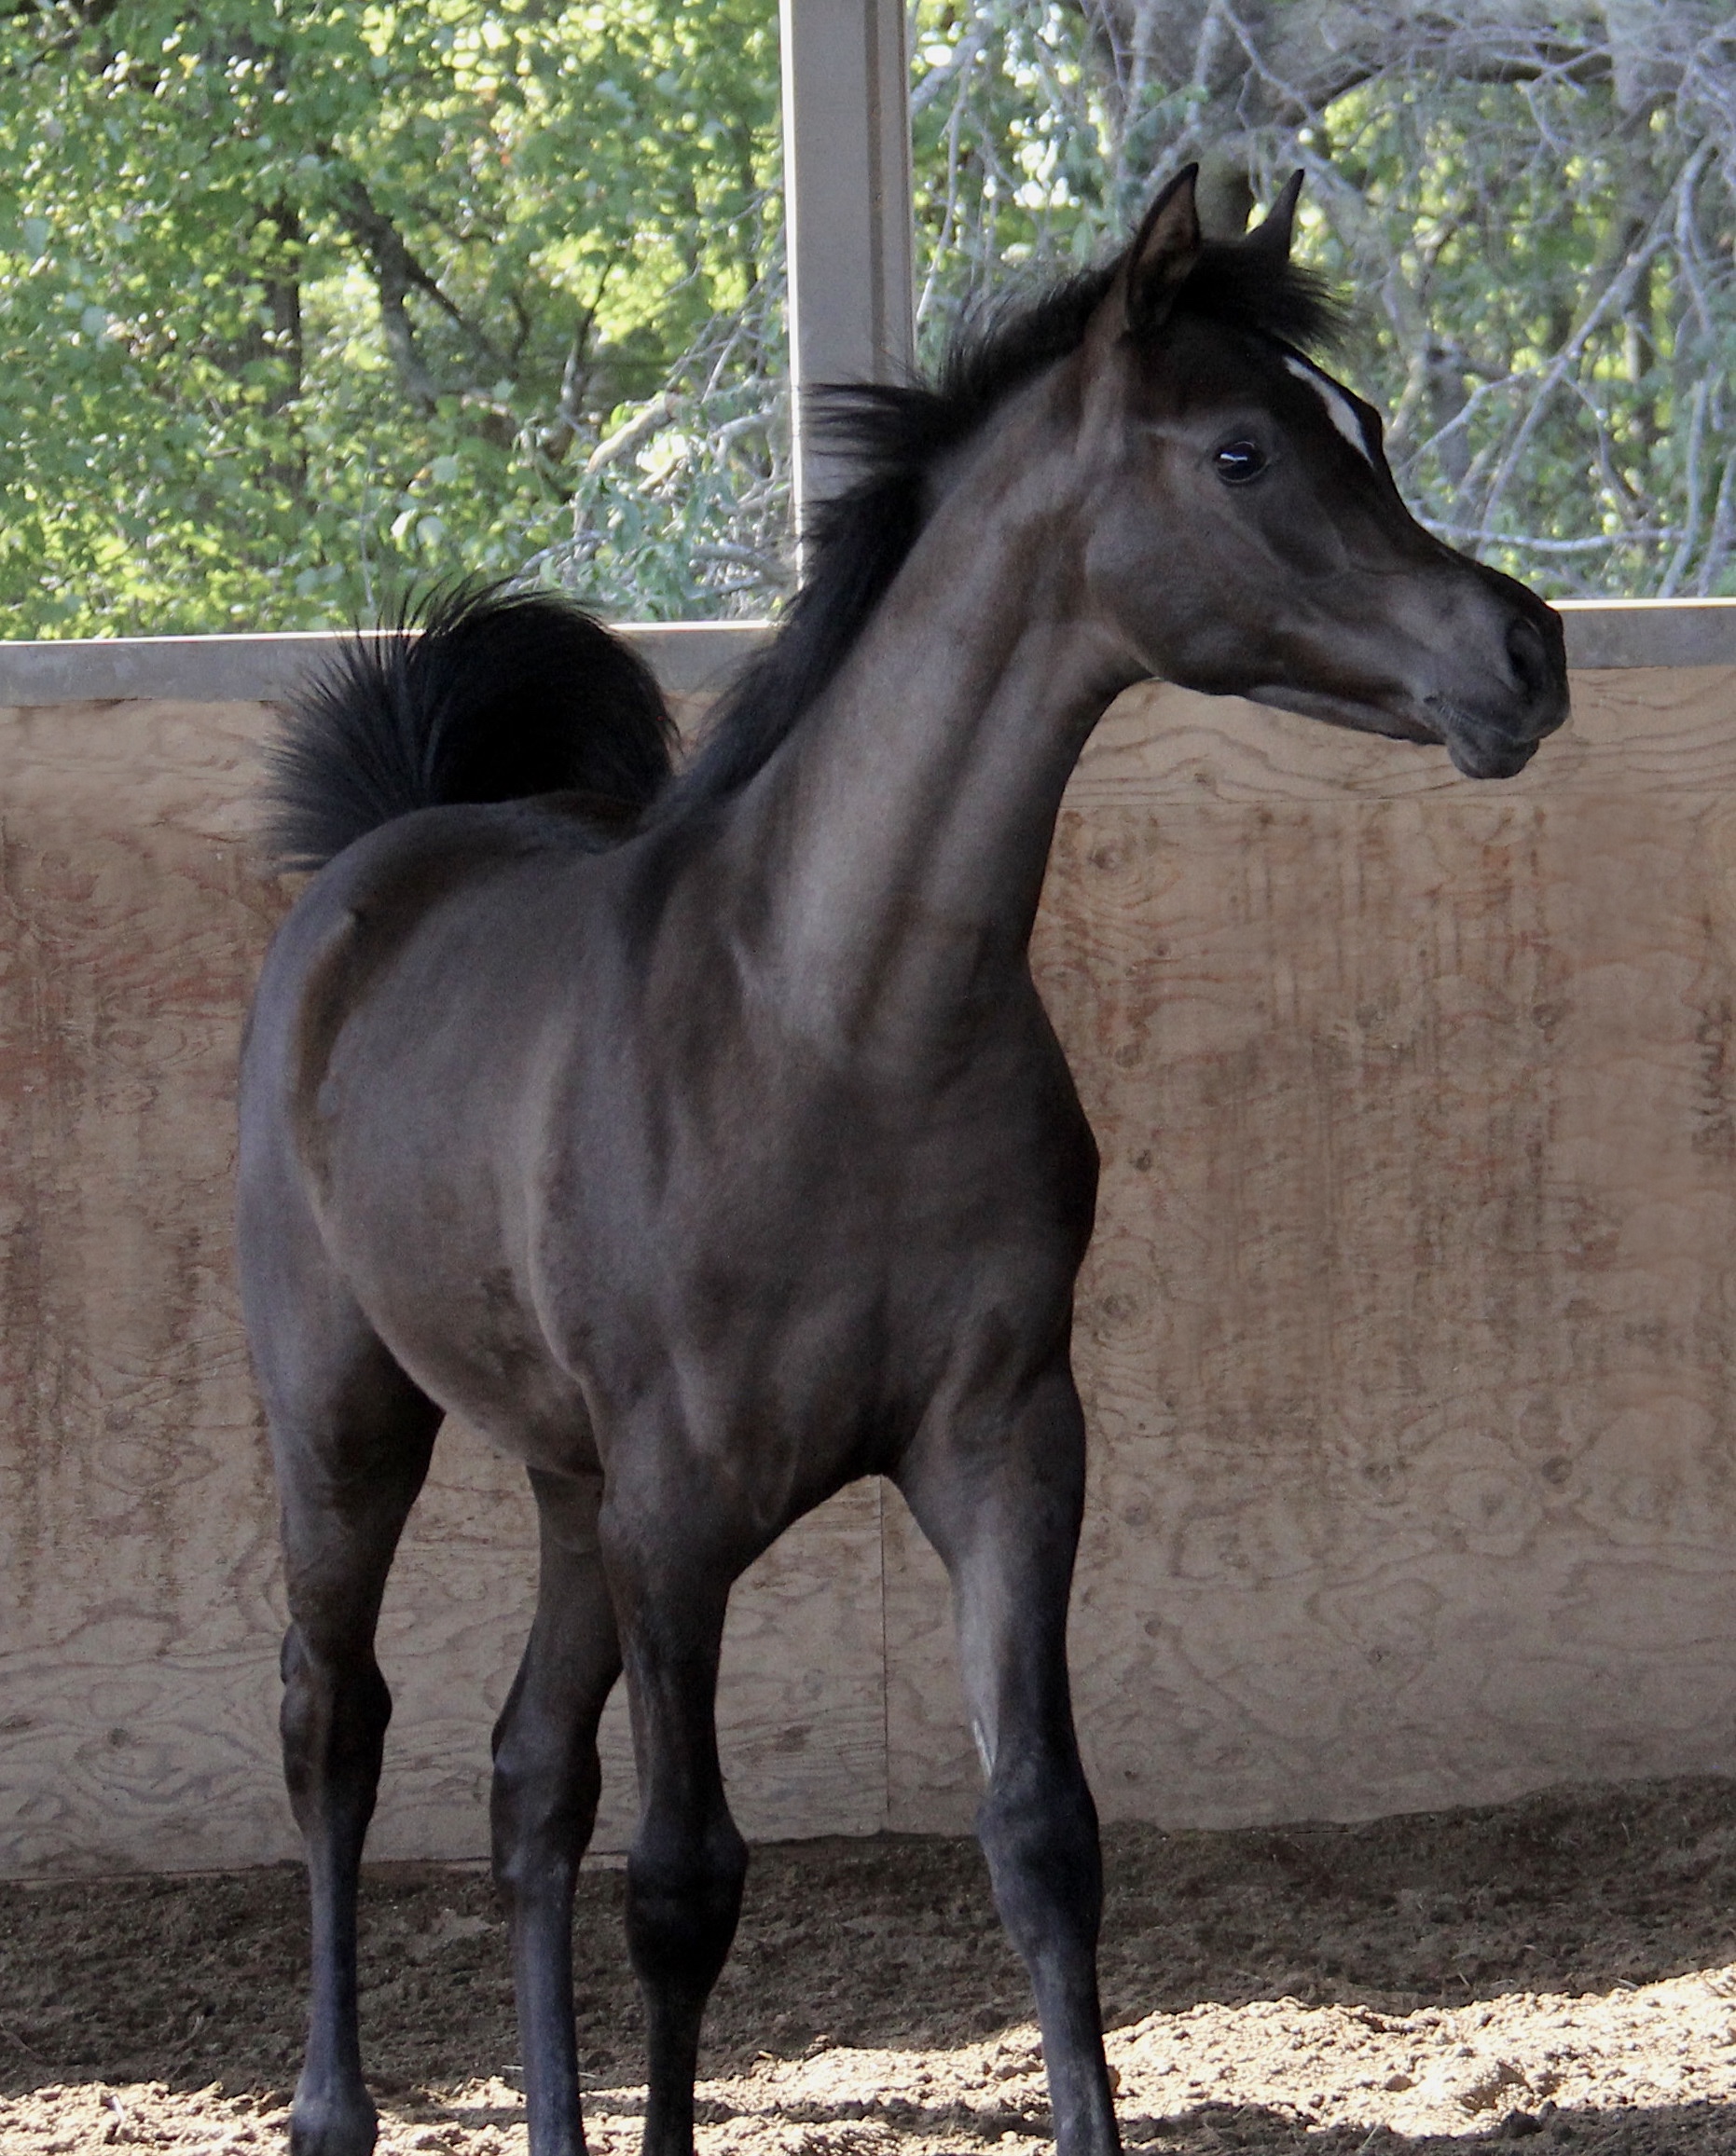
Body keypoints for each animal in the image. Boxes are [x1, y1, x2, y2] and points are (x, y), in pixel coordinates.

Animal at [237, 163, 1561, 2156]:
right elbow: (685, 1882)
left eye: (1370, 435)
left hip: (563, 1482)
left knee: (526, 1775)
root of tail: (380, 859)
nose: (1524, 654)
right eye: (1244, 451)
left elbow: (1042, 1834)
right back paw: (331, 2103)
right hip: (349, 1419)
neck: (836, 1022)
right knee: (337, 1722)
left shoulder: (1004, 1449)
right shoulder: (679, 1509)